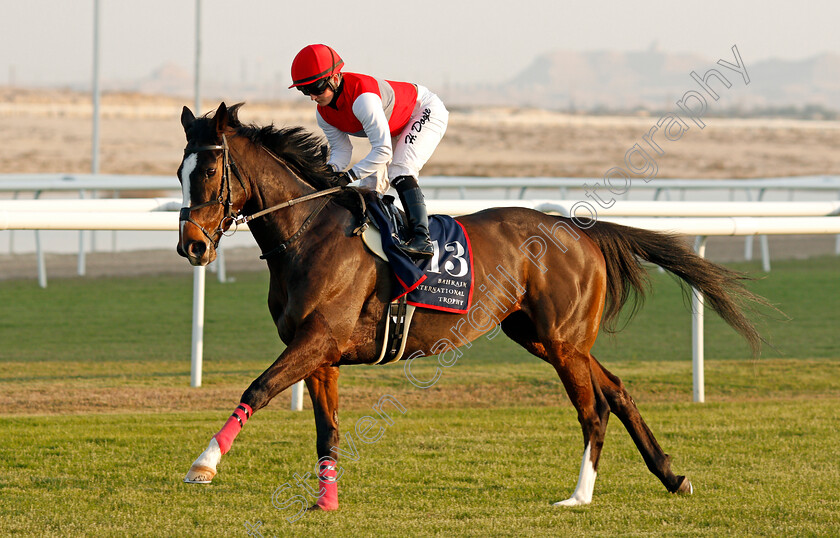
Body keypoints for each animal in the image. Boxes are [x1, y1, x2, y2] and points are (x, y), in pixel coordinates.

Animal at [177, 102, 768, 508]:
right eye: (180, 171)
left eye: (208, 172)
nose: (192, 246)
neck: (310, 234)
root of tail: (580, 229)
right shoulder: (321, 354)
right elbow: (328, 430)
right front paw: (326, 501)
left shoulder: (318, 340)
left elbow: (257, 388)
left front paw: (204, 464)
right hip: (544, 336)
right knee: (618, 390)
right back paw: (672, 474)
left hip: (561, 341)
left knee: (592, 408)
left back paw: (578, 496)